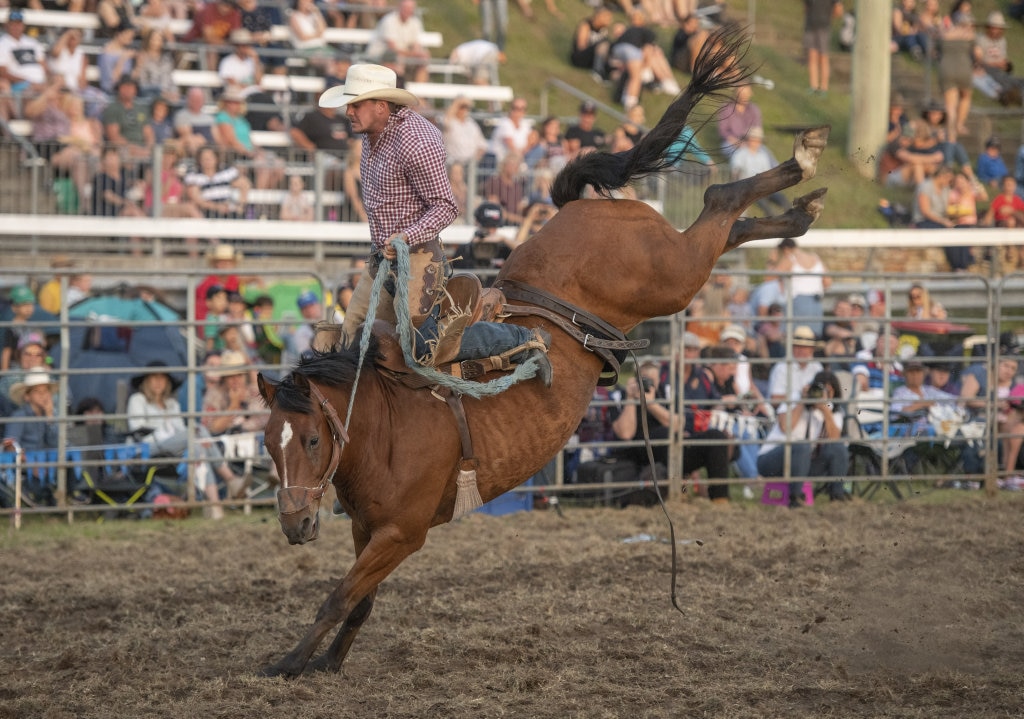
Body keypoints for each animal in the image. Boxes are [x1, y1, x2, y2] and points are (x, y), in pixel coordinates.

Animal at [258, 29, 831, 680]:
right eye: (267, 443)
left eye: (310, 439)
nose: (295, 523)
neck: (382, 418)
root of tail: (583, 207)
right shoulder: (368, 528)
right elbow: (359, 599)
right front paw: (329, 660)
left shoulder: (403, 532)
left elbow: (338, 596)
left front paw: (290, 662)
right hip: (673, 273)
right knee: (724, 224)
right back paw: (800, 208)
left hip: (670, 276)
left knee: (716, 200)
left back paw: (802, 162)